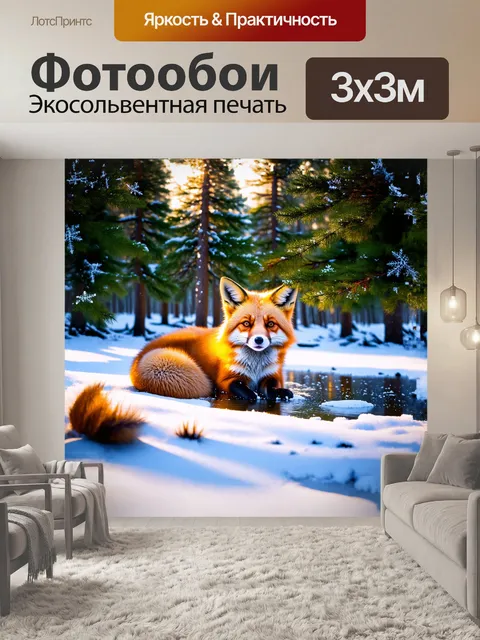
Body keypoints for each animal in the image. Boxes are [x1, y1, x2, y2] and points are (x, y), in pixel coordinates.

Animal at [130, 277, 298, 404]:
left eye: (270, 324)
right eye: (246, 323)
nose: (258, 340)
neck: (255, 367)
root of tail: (139, 355)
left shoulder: (274, 375)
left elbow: (272, 388)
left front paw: (279, 393)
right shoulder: (226, 379)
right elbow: (246, 391)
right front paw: (255, 395)